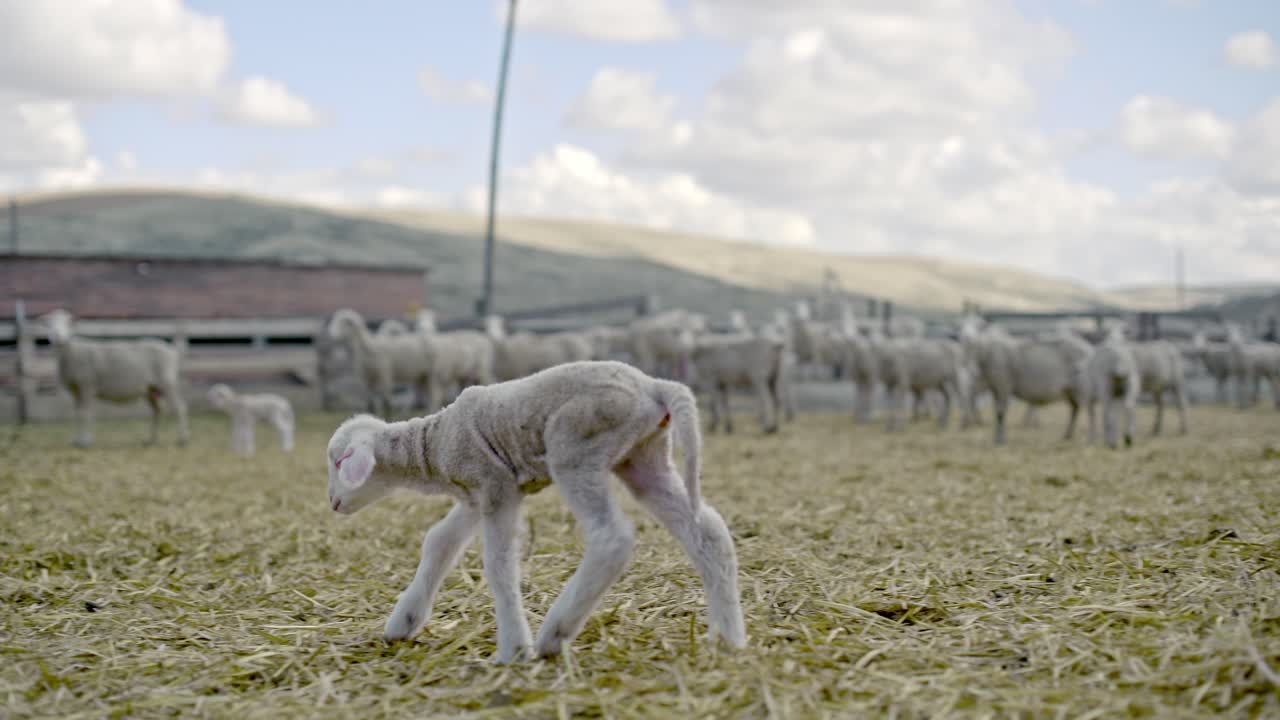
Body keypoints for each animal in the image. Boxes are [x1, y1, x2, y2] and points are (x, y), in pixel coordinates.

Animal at [37, 309, 190, 448]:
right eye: (49, 324)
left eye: (68, 323)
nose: (58, 336)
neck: (72, 352)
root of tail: (172, 350)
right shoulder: (77, 391)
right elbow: (78, 415)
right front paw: (77, 440)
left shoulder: (87, 386)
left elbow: (86, 414)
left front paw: (85, 442)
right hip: (150, 389)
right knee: (157, 411)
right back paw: (151, 440)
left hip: (167, 382)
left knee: (180, 408)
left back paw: (182, 439)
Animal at [325, 360, 747, 663]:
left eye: (338, 461)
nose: (332, 502)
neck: (434, 444)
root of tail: (655, 387)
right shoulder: (477, 495)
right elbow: (439, 542)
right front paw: (403, 622)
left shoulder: (497, 486)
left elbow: (498, 564)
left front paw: (513, 648)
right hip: (643, 457)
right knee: (707, 532)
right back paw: (728, 637)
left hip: (575, 448)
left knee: (612, 538)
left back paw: (553, 635)